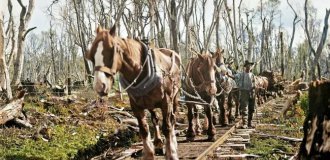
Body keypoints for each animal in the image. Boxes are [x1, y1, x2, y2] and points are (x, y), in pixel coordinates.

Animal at [85, 25, 180, 159]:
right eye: (92, 54)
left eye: (113, 50)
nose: (99, 85)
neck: (141, 70)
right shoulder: (136, 106)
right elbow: (144, 130)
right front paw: (149, 154)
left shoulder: (166, 102)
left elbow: (167, 127)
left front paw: (171, 153)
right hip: (149, 103)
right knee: (155, 118)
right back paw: (158, 143)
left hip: (174, 97)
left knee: (172, 119)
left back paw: (172, 144)